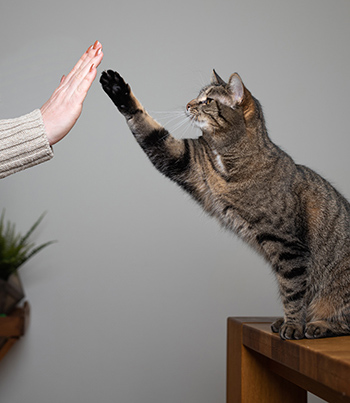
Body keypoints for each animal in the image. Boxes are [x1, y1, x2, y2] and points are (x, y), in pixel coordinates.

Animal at [100, 68, 350, 340]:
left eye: (208, 100)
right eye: (198, 97)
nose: (188, 104)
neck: (228, 155)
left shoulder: (289, 246)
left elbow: (292, 292)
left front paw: (293, 325)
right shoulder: (185, 160)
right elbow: (149, 129)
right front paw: (118, 90)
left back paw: (318, 325)